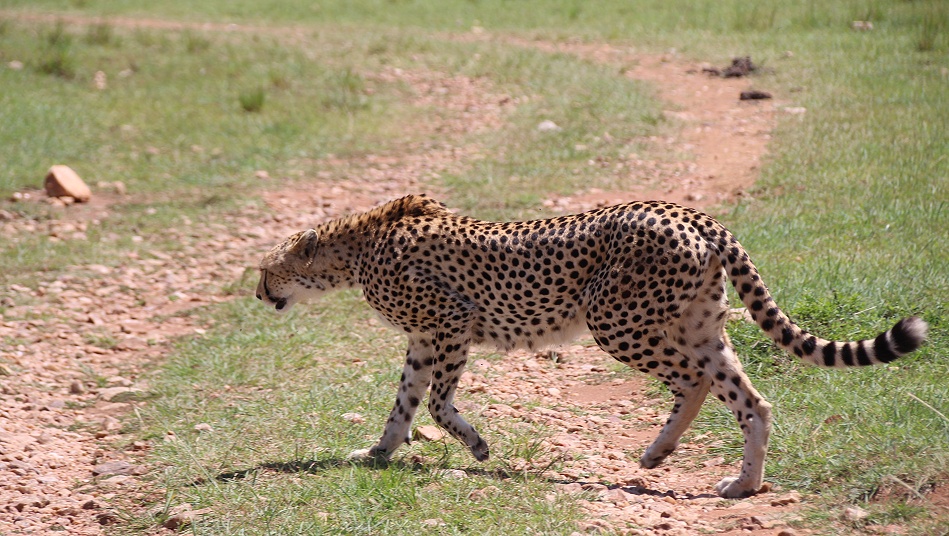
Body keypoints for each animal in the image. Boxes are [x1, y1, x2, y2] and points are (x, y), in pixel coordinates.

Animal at [256, 194, 928, 498]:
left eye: (268, 270)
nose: (261, 294)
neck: (356, 247)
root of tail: (687, 211)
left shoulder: (451, 322)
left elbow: (440, 404)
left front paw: (476, 446)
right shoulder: (425, 339)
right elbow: (404, 404)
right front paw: (377, 453)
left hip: (616, 320)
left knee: (694, 380)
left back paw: (661, 451)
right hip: (697, 323)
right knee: (750, 399)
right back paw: (740, 484)